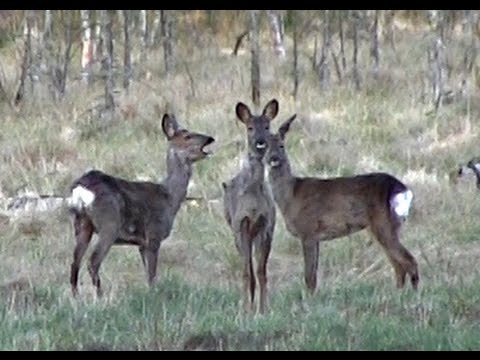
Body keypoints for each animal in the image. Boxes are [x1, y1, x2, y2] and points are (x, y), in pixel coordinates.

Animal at [67, 113, 216, 298]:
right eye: (187, 136)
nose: (210, 138)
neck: (170, 197)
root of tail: (81, 188)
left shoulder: (141, 244)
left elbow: (148, 273)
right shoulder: (153, 235)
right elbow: (152, 274)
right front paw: (154, 295)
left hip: (82, 223)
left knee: (75, 262)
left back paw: (76, 297)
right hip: (109, 223)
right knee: (93, 261)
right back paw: (100, 296)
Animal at [223, 98, 280, 312]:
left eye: (267, 126)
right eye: (249, 128)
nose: (260, 142)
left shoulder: (266, 225)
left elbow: (261, 271)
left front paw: (263, 309)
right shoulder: (241, 224)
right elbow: (246, 272)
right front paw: (245, 309)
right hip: (235, 231)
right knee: (245, 265)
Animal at [264, 114, 418, 294]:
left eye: (282, 145)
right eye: (264, 146)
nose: (274, 159)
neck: (291, 195)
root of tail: (402, 189)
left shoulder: (308, 231)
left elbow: (309, 277)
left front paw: (309, 298)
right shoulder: (315, 237)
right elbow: (314, 275)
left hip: (384, 223)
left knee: (409, 261)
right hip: (385, 227)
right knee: (398, 265)